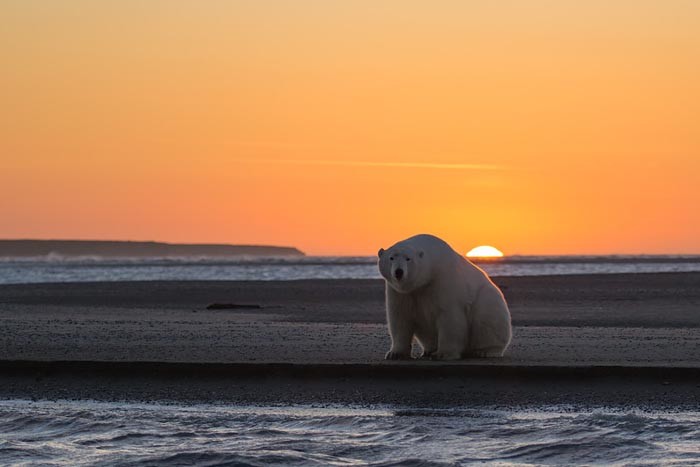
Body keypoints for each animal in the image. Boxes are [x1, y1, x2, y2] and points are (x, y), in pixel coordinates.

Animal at [380, 234, 512, 362]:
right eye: (391, 258)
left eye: (408, 259)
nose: (399, 272)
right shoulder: (399, 291)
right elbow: (400, 317)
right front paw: (395, 354)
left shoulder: (443, 280)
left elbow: (449, 317)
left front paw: (442, 354)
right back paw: (428, 350)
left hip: (488, 299)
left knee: (487, 319)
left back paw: (484, 351)